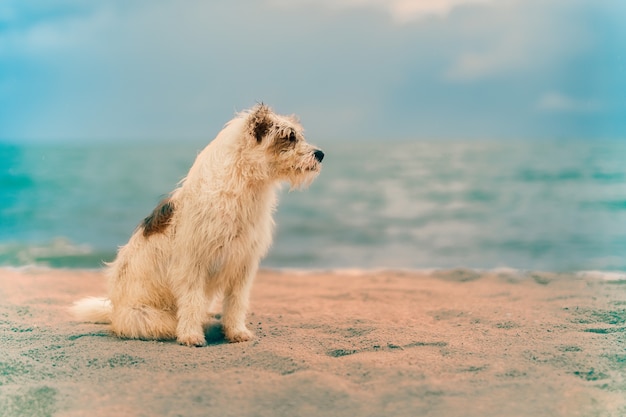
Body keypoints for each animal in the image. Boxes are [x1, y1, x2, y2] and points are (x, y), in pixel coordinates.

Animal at [72, 104, 322, 344]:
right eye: (288, 136)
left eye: (297, 134)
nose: (320, 154)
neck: (241, 185)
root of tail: (114, 311)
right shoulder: (192, 264)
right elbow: (192, 301)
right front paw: (191, 336)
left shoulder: (243, 264)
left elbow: (236, 302)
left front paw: (236, 331)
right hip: (147, 317)